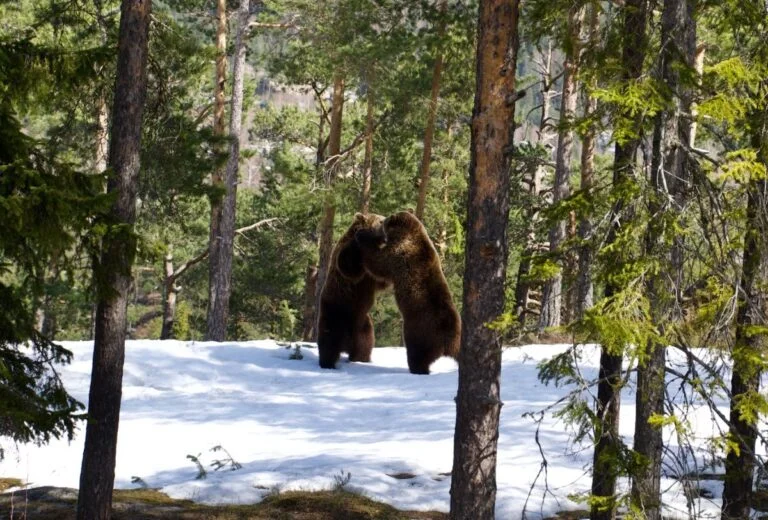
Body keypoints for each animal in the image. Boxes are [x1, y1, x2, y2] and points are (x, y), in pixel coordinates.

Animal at [318, 212, 390, 370]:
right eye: (381, 220)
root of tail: (346, 345)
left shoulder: (370, 275)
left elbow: (382, 279)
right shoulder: (346, 253)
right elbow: (348, 265)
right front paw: (359, 236)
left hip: (362, 323)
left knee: (365, 342)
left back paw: (360, 359)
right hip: (335, 312)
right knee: (329, 338)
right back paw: (328, 363)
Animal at [356, 210, 462, 374]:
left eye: (383, 222)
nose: (382, 222)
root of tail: (447, 339)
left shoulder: (399, 254)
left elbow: (378, 262)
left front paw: (362, 236)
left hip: (420, 333)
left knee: (417, 355)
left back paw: (417, 369)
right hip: (456, 338)